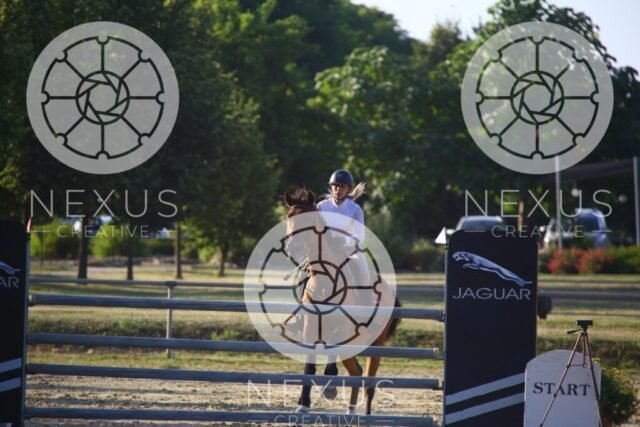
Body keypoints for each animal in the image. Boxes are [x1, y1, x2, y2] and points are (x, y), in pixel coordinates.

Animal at [283, 188, 401, 415]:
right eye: (289, 217)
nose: (293, 248)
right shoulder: (310, 329)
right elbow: (309, 366)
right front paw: (303, 403)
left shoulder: (342, 330)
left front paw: (329, 387)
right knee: (357, 372)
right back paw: (351, 410)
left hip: (376, 342)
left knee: (369, 378)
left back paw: (365, 413)